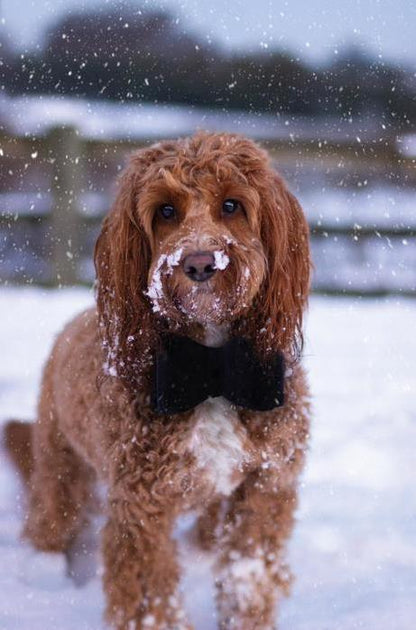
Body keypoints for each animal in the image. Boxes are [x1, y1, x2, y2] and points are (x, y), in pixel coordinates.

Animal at [4, 131, 310, 628]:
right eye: (165, 211)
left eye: (232, 205)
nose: (201, 263)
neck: (213, 364)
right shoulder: (141, 505)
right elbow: (152, 596)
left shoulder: (266, 486)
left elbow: (248, 575)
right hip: (59, 459)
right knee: (51, 515)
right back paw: (45, 566)